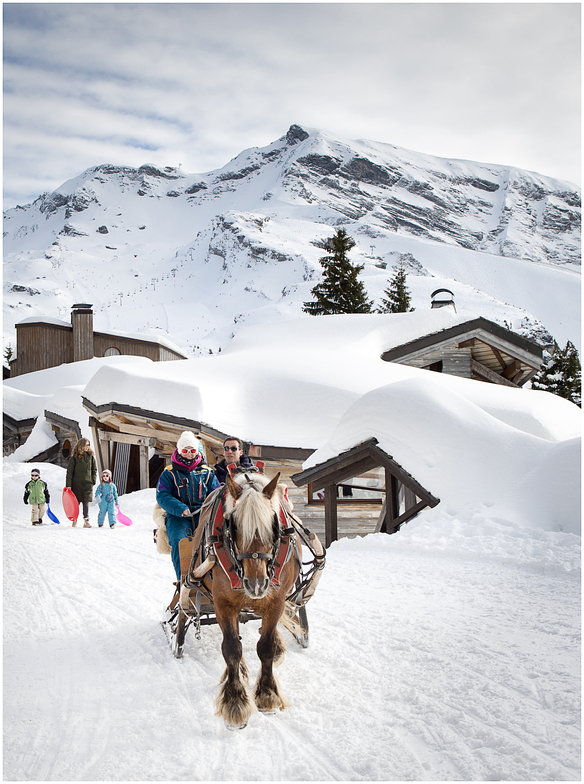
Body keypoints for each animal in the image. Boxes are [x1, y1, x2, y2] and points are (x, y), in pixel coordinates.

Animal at [198, 468, 304, 732]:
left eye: (274, 525)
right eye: (234, 526)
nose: (256, 585)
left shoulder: (275, 600)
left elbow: (265, 647)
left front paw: (267, 695)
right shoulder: (223, 603)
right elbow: (231, 649)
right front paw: (235, 702)